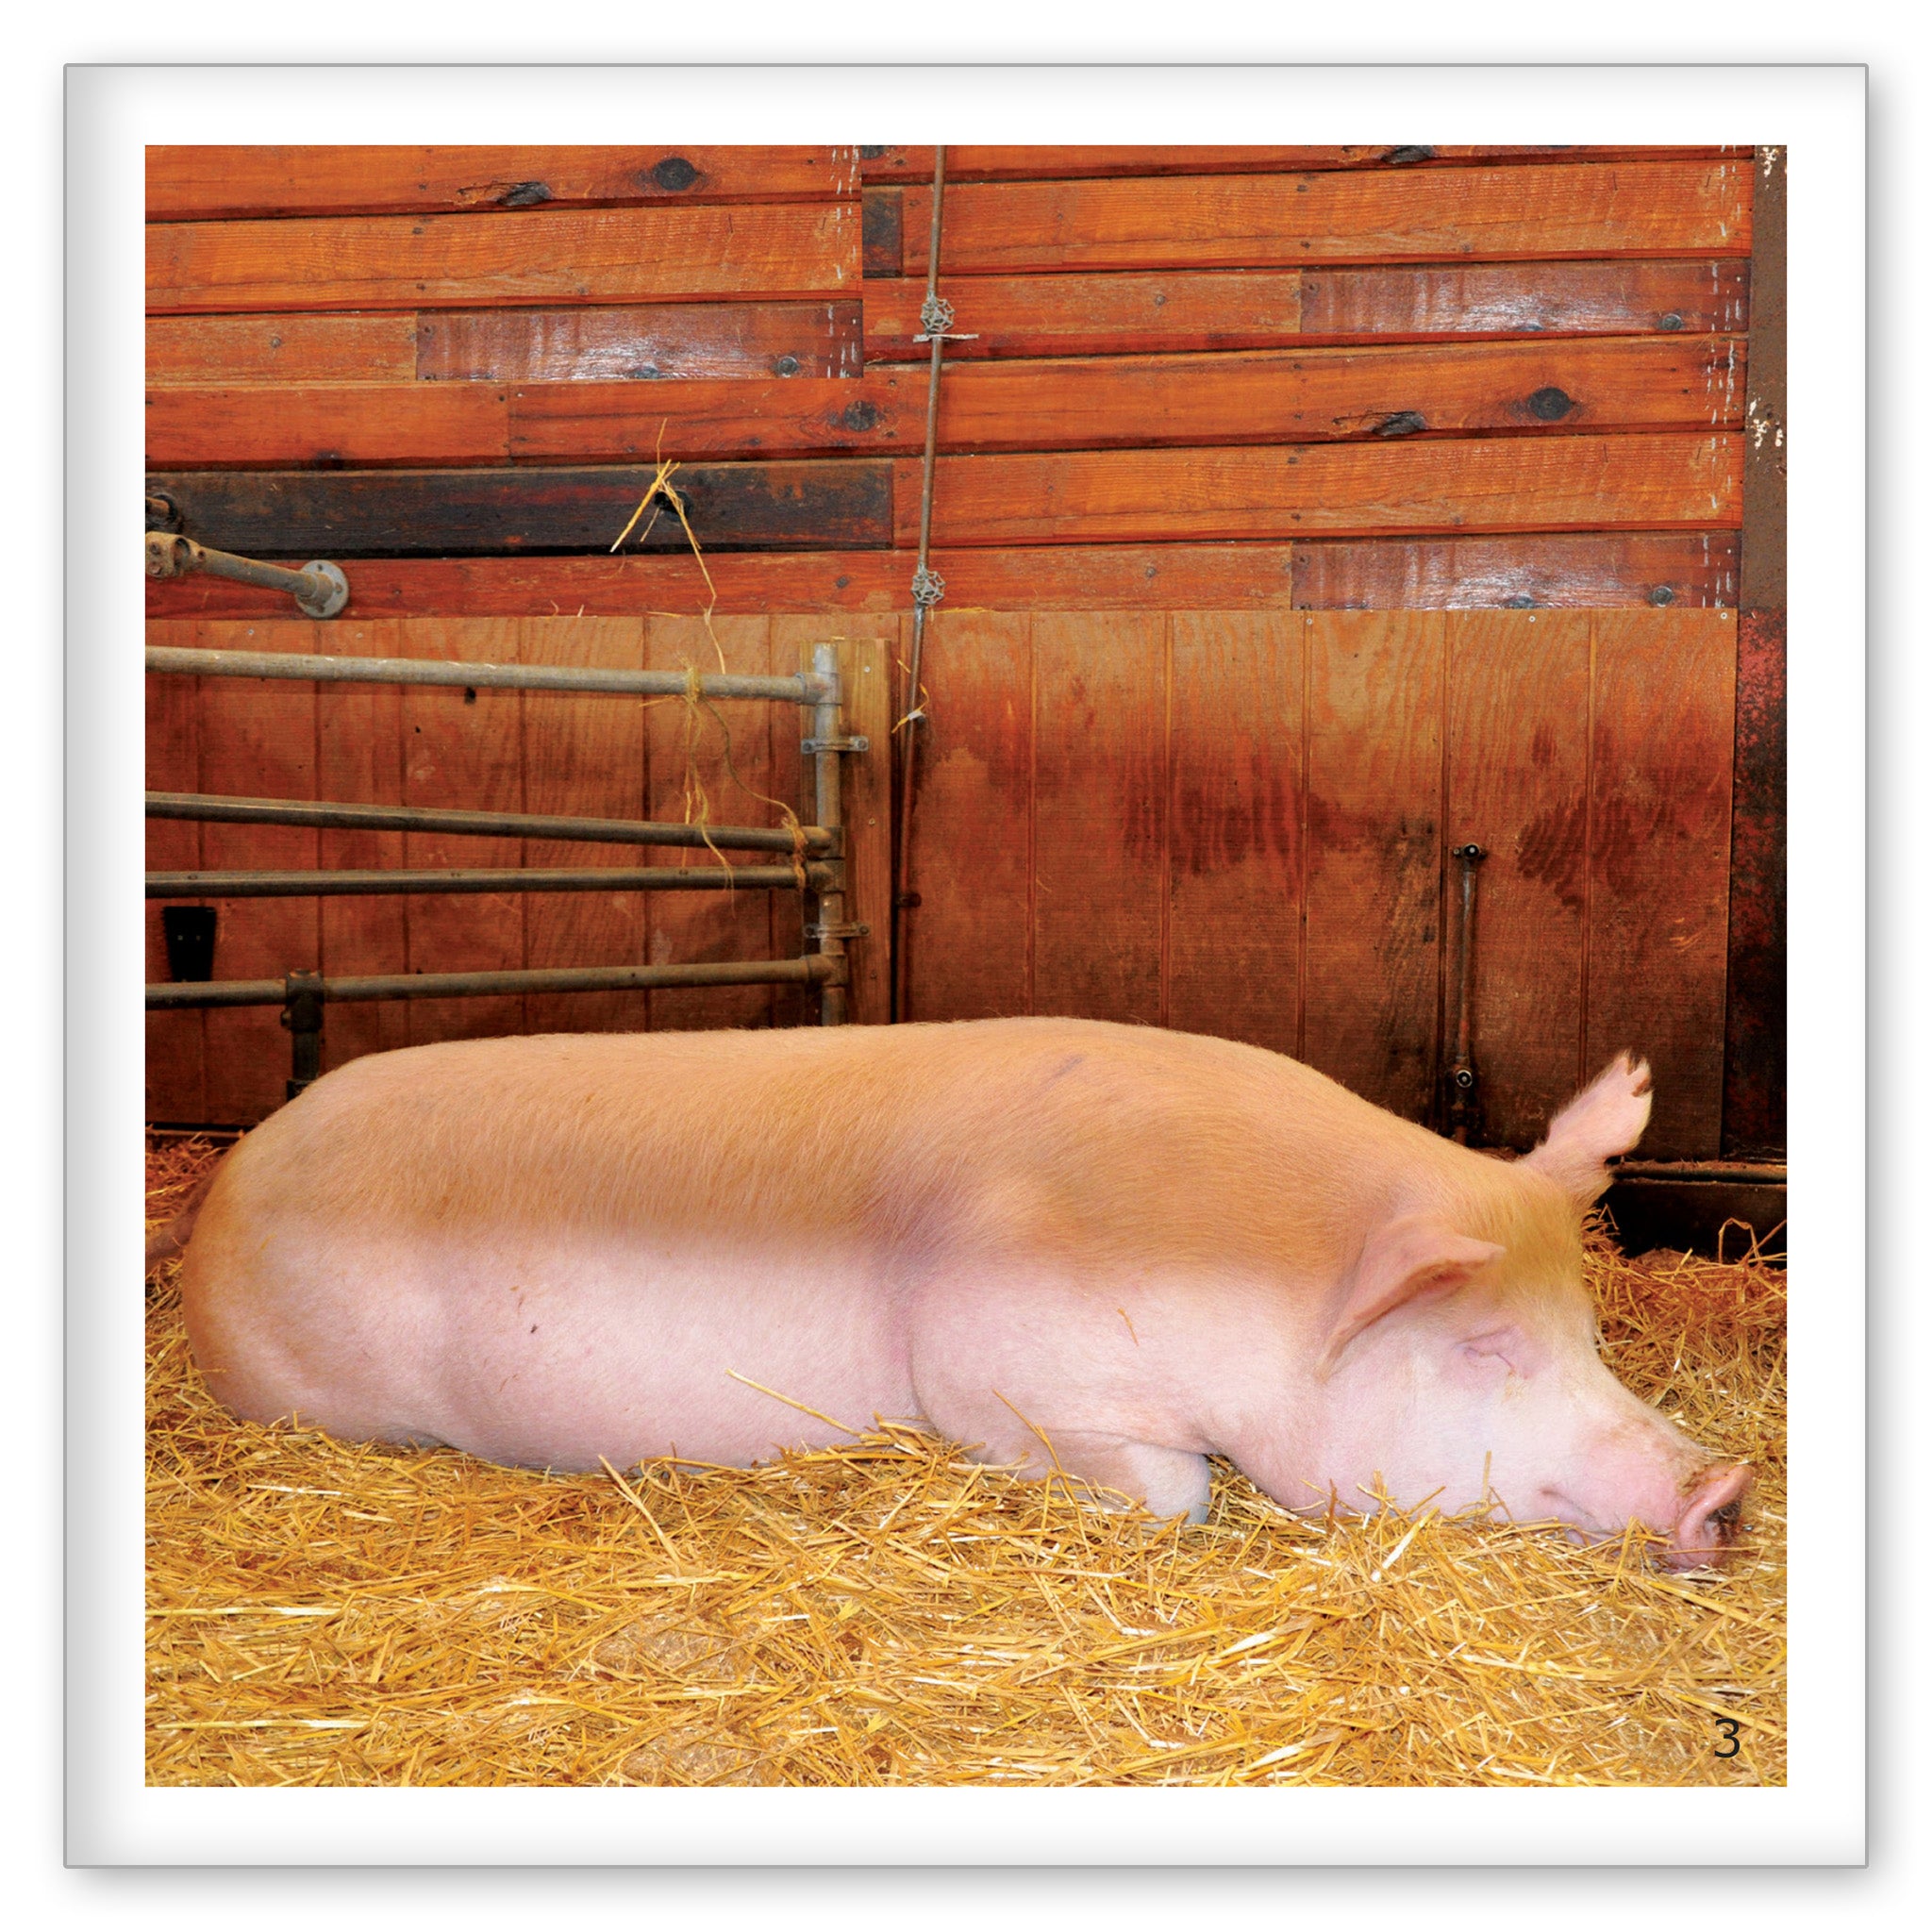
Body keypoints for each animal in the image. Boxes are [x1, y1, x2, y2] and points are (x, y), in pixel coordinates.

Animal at [172, 1017, 1751, 1571]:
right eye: (1484, 1347)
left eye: (1588, 1334)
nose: (1726, 1488)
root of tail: (224, 1188)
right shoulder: (999, 1365)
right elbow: (1177, 1492)